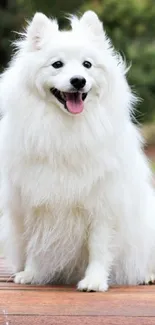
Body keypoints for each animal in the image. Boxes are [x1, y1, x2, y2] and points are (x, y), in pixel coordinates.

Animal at [0, 10, 155, 290]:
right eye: (57, 64)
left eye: (87, 65)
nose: (78, 81)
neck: (67, 128)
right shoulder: (37, 201)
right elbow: (38, 243)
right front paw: (32, 274)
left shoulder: (103, 205)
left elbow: (99, 247)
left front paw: (94, 281)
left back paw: (147, 275)